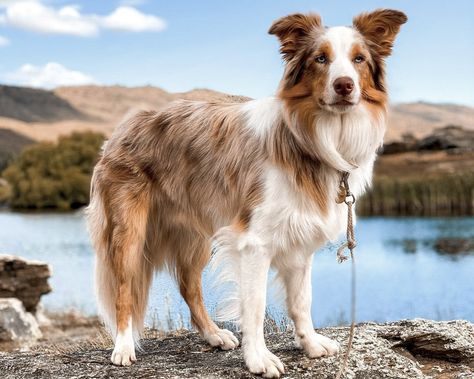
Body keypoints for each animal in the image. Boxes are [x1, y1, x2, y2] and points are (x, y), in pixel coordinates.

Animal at [87, 8, 406, 378]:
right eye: (320, 59)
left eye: (359, 59)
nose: (344, 85)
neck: (315, 138)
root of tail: (125, 125)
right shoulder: (255, 242)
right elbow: (254, 306)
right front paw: (259, 359)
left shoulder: (299, 238)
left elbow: (302, 300)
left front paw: (310, 344)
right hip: (129, 231)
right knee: (125, 290)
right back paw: (124, 348)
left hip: (195, 234)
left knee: (189, 285)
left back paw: (213, 335)